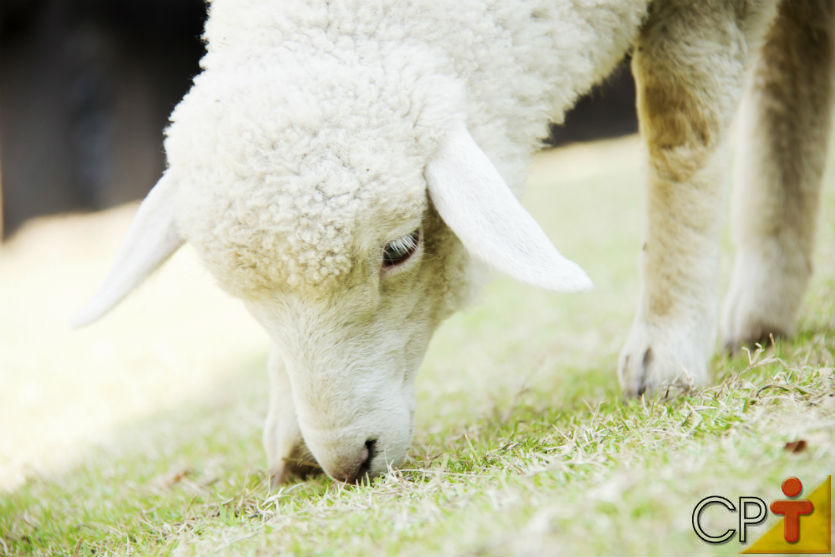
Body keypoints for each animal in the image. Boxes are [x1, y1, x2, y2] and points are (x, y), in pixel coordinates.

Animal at [73, 0, 835, 484]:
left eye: (401, 248)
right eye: (240, 296)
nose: (346, 462)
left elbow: (682, 120)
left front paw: (666, 349)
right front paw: (289, 429)